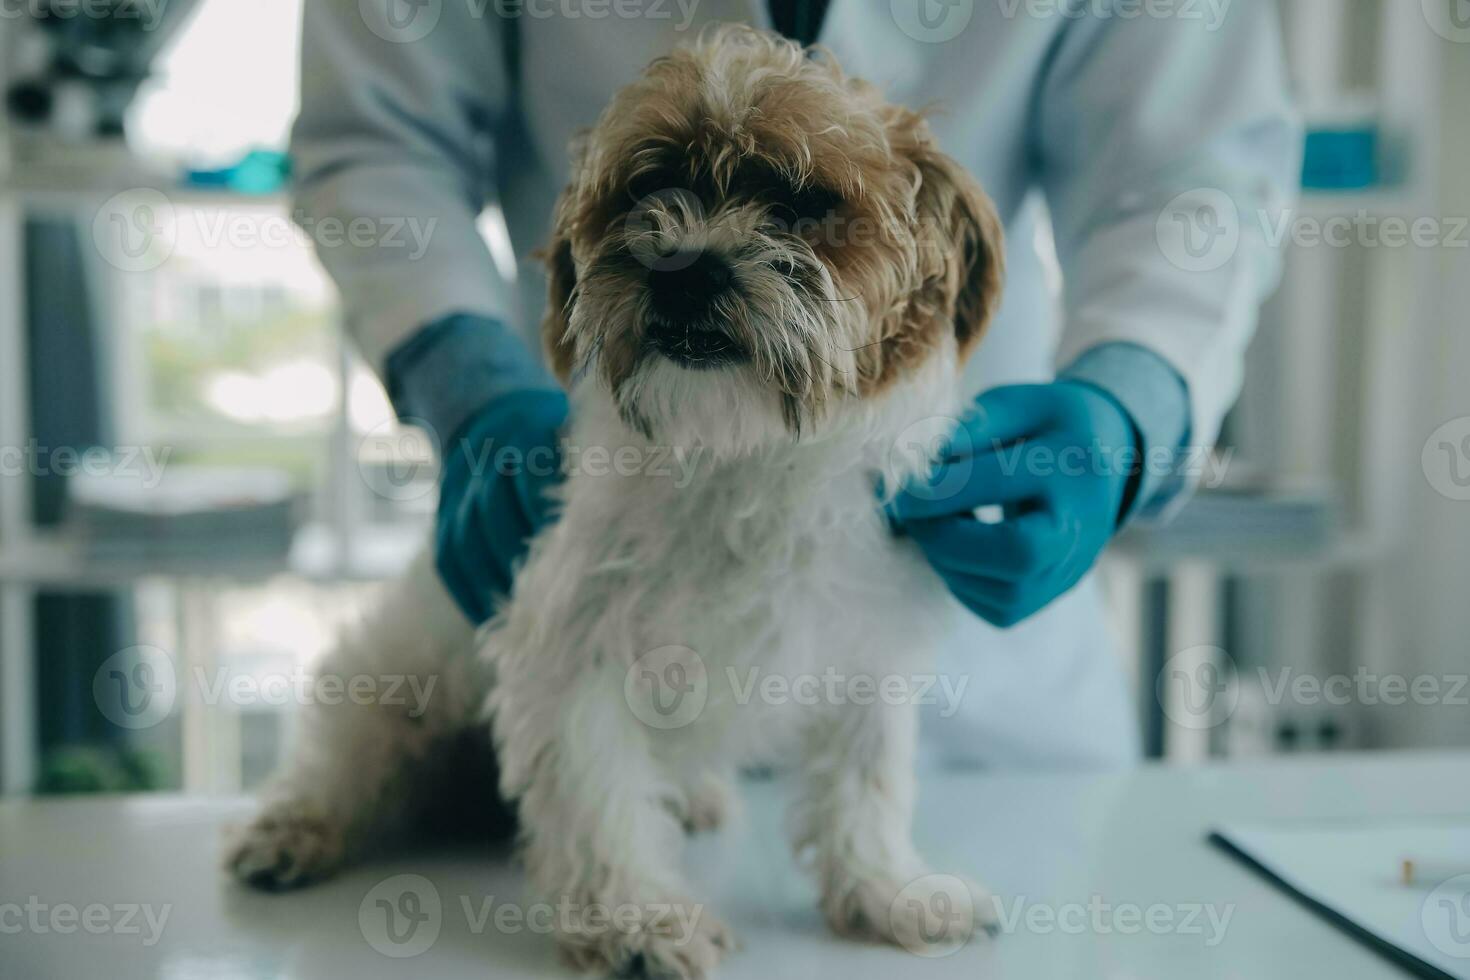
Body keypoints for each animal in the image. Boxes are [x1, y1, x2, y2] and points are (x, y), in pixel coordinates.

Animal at [229, 22, 1005, 980]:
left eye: (800, 201)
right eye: (647, 189)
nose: (684, 267)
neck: (740, 456)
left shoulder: (865, 655)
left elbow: (867, 787)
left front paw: (888, 891)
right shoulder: (573, 653)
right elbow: (599, 798)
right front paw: (641, 921)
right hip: (383, 687)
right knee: (339, 762)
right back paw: (292, 830)